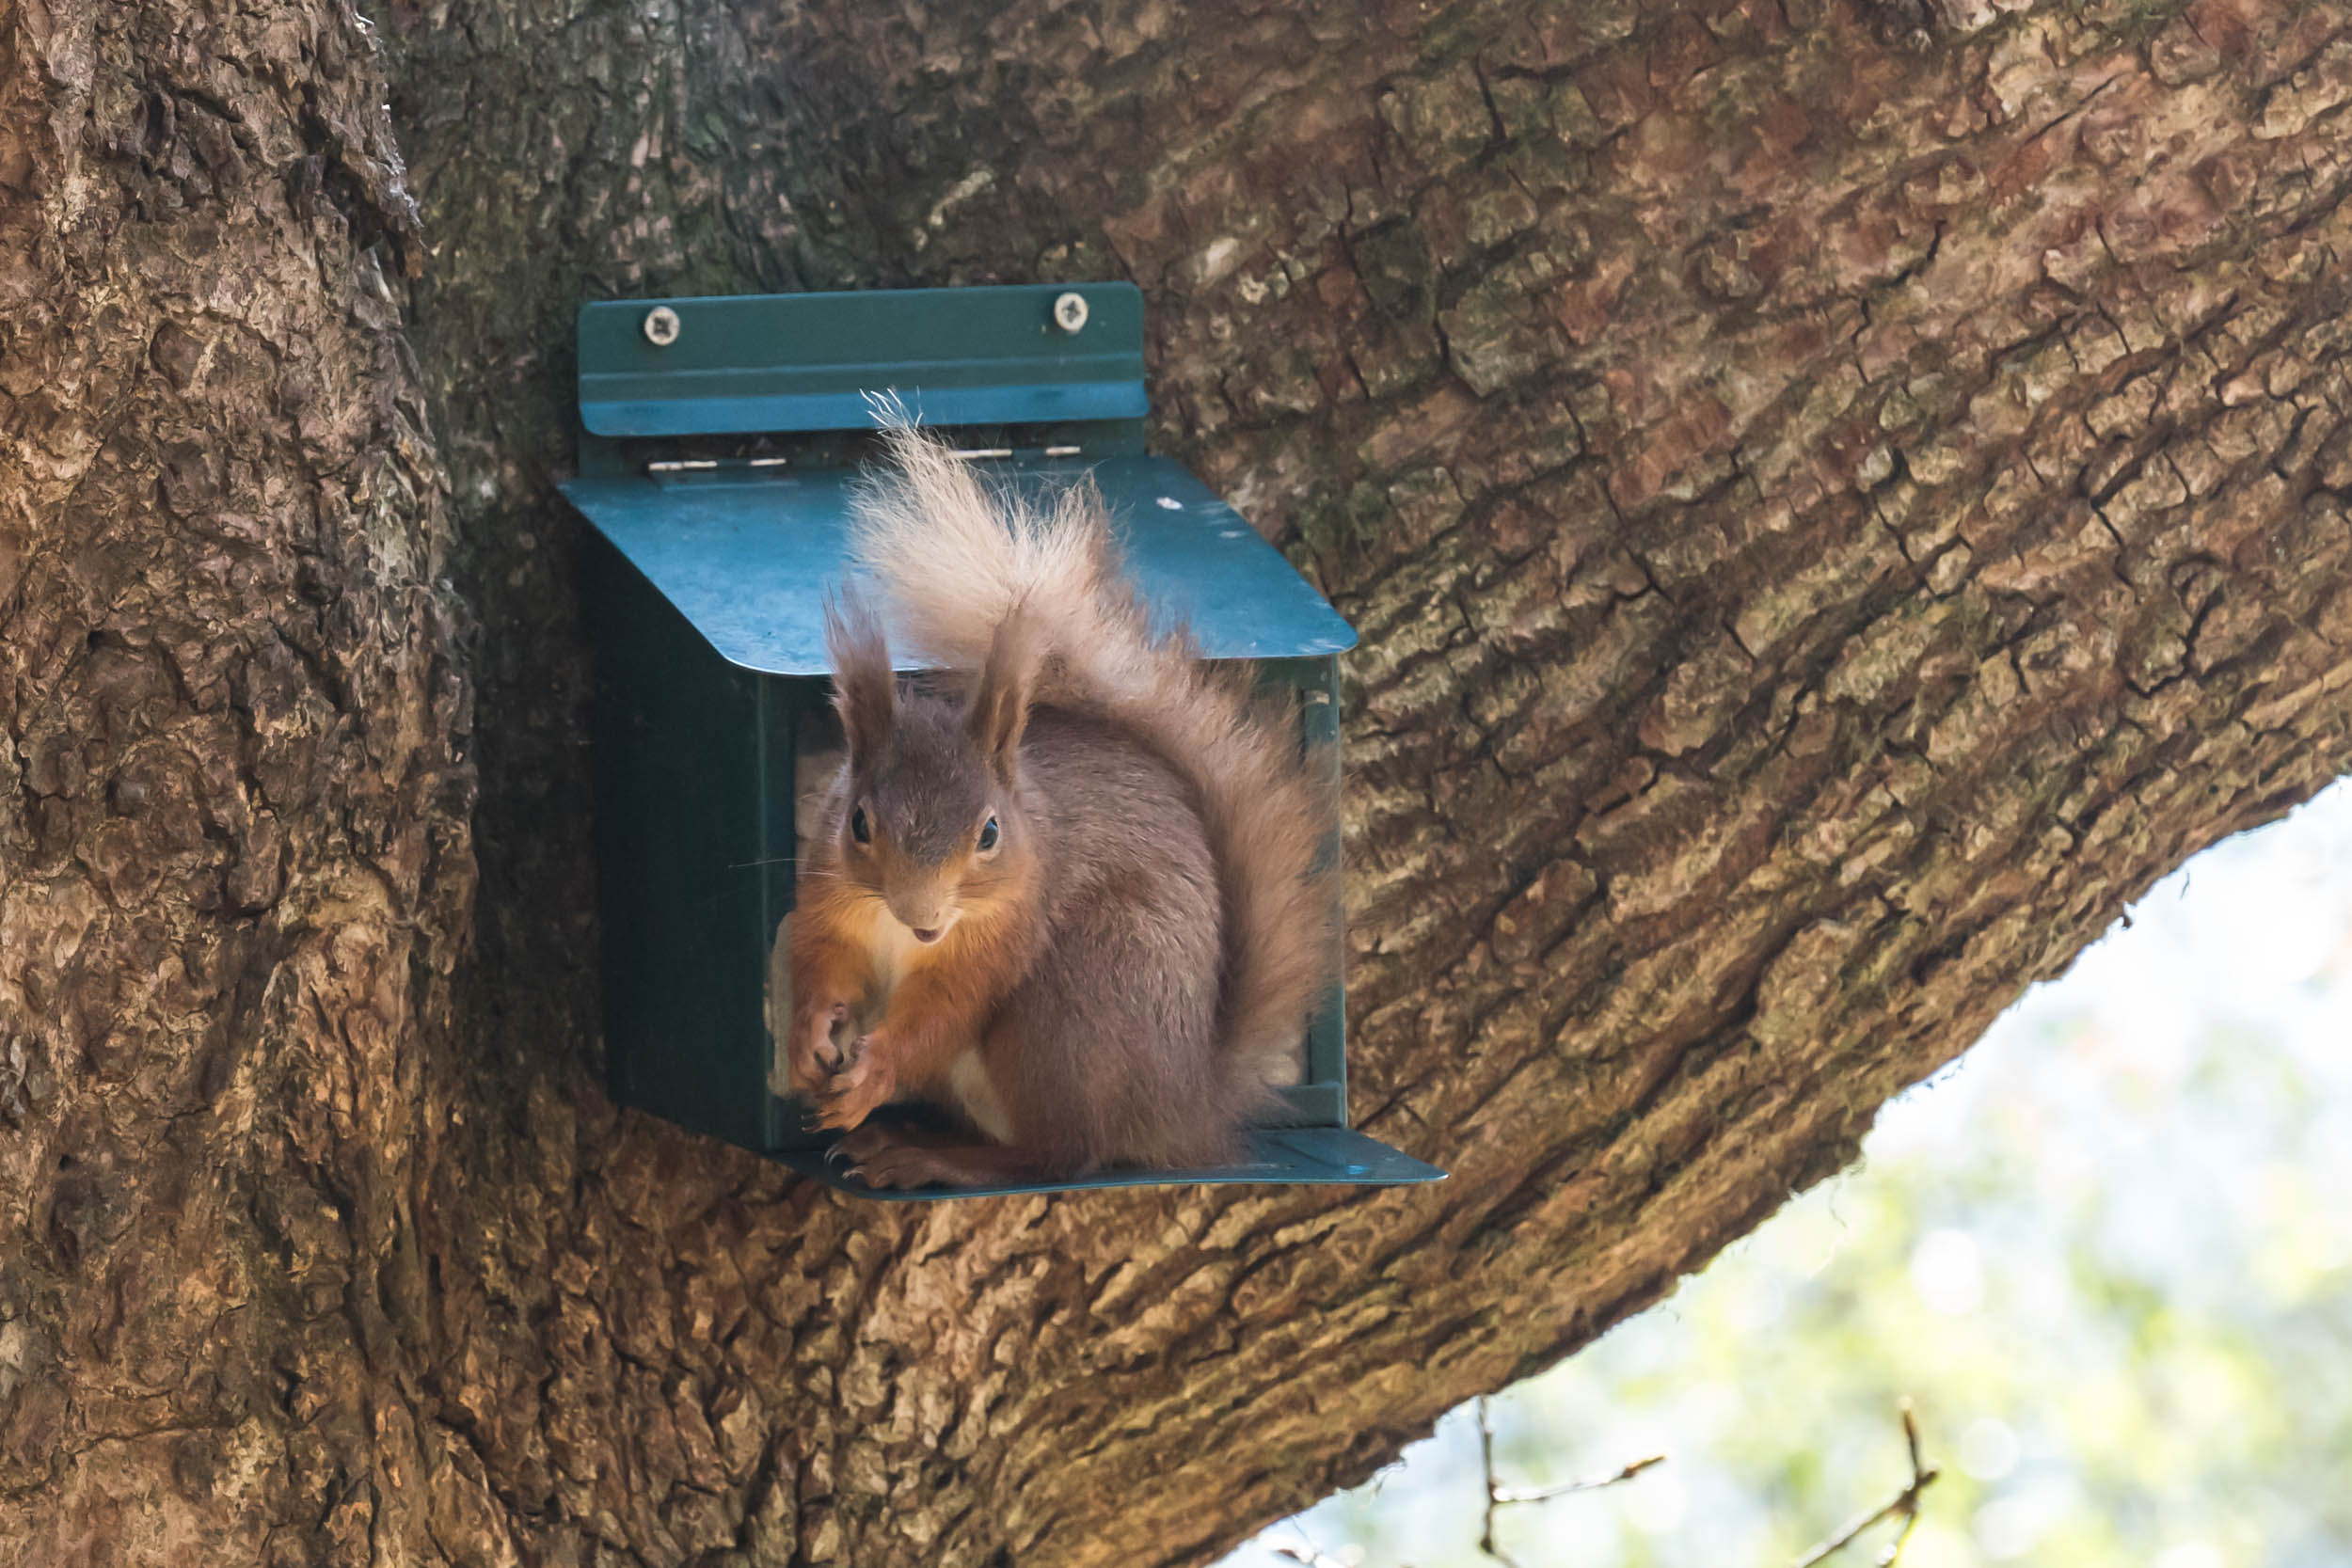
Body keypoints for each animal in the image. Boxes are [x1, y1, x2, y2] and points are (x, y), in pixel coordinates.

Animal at [790, 416, 1336, 1189]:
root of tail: (1185, 1100)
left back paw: (930, 1156)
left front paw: (873, 1076)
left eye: (990, 832)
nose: (923, 919)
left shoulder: (1002, 938)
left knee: (1062, 1152)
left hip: (1066, 1010)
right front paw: (807, 1037)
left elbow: (941, 1016)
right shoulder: (831, 897)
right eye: (860, 822)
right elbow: (822, 961)